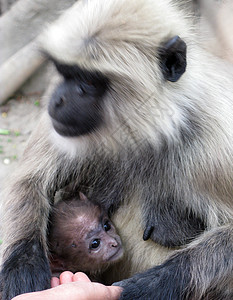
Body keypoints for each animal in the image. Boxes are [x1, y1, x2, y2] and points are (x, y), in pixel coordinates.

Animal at [0, 0, 233, 298]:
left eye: (88, 82)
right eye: (64, 72)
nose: (57, 99)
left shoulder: (216, 142)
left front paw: (149, 286)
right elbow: (29, 179)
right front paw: (22, 268)